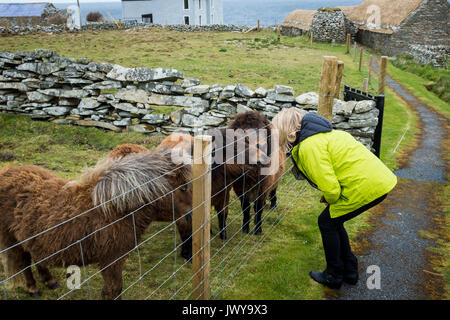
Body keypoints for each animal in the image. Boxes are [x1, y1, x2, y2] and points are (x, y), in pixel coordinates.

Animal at [0, 149, 192, 298]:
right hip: (14, 242)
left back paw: (51, 281)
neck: (115, 208)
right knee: (24, 264)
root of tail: (7, 173)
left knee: (37, 258)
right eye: (183, 188)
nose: (190, 215)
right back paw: (33, 289)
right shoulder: (111, 261)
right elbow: (114, 290)